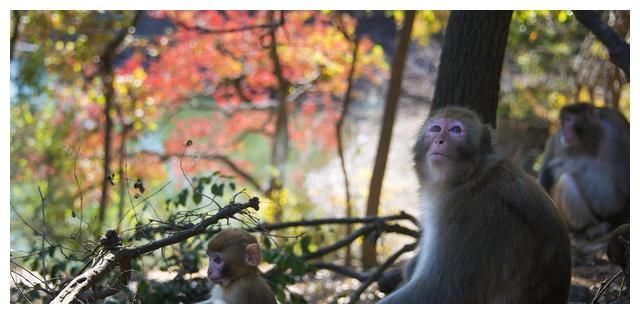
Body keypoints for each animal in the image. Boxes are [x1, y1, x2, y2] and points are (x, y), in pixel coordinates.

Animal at [380, 106, 568, 302]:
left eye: (456, 130)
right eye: (436, 129)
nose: (439, 141)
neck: (470, 177)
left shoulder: (472, 214)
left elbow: (440, 290)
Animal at [540, 103, 632, 231]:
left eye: (569, 120)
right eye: (564, 121)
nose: (564, 130)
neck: (591, 141)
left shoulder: (618, 126)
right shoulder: (557, 142)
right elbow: (545, 180)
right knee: (565, 180)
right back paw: (591, 227)